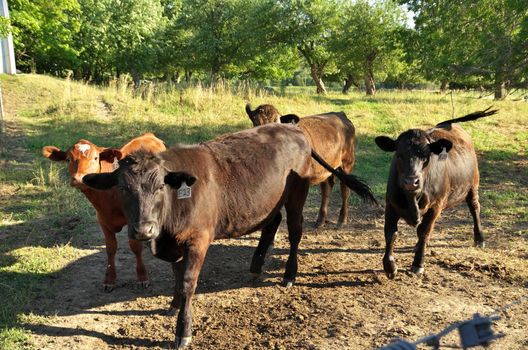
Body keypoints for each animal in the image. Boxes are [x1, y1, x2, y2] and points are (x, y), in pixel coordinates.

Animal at [42, 133, 166, 292]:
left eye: (95, 158)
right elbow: (111, 248)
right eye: (68, 159)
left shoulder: (133, 220)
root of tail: (148, 135)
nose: (79, 178)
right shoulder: (102, 220)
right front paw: (109, 279)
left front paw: (142, 277)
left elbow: (135, 247)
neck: (108, 195)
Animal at [82, 123, 376, 348]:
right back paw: (256, 266)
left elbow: (188, 283)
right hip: (267, 202)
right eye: (122, 188)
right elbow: (177, 276)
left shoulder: (198, 240)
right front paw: (174, 305)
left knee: (294, 231)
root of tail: (293, 128)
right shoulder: (175, 244)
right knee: (272, 224)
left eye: (159, 187)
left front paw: (183, 331)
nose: (143, 230)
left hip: (296, 195)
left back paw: (289, 275)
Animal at [374, 108, 498, 278]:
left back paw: (479, 239)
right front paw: (390, 266)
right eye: (399, 155)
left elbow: (424, 232)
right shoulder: (391, 204)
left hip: (473, 186)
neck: (412, 198)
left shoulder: (435, 206)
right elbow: (391, 233)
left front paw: (418, 264)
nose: (411, 182)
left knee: (475, 208)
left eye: (425, 156)